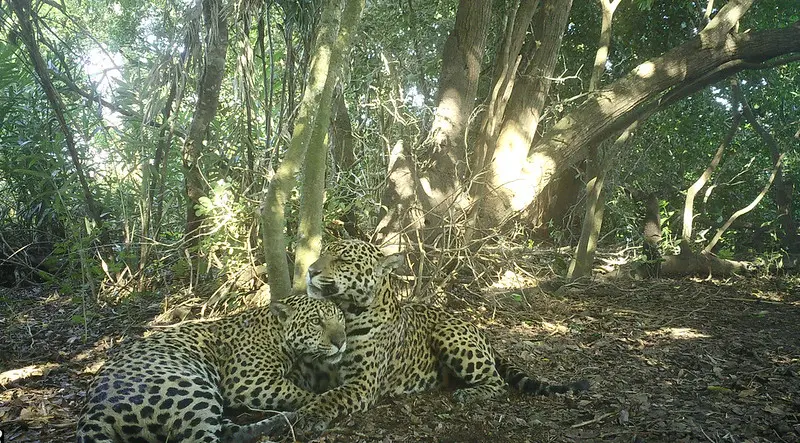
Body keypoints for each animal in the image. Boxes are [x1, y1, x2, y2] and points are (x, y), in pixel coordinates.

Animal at [75, 294, 345, 443]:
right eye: (316, 321)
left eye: (340, 317)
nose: (341, 341)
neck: (275, 333)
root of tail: (92, 410)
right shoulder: (248, 382)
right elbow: (300, 393)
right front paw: (318, 404)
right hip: (190, 388)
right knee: (202, 439)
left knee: (230, 433)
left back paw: (281, 420)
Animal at [277, 239, 589, 435]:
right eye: (323, 253)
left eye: (343, 260)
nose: (310, 271)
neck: (348, 311)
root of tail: (479, 331)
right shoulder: (313, 371)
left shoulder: (362, 383)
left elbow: (330, 397)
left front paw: (308, 416)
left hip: (447, 334)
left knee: (498, 382)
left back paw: (468, 394)